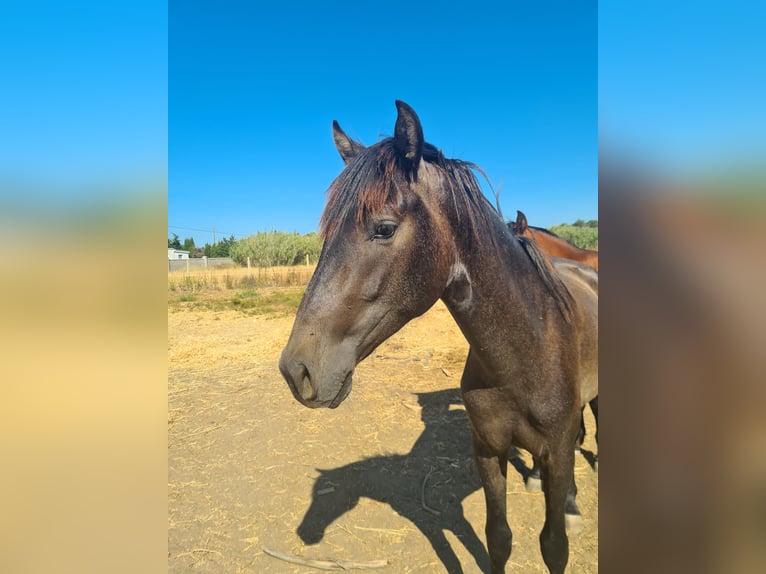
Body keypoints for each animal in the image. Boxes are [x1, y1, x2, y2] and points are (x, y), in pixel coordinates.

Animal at [282, 101, 600, 572]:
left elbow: (553, 545)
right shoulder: (487, 450)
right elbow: (498, 538)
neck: (525, 351)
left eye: (383, 228)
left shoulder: (555, 454)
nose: (295, 370)